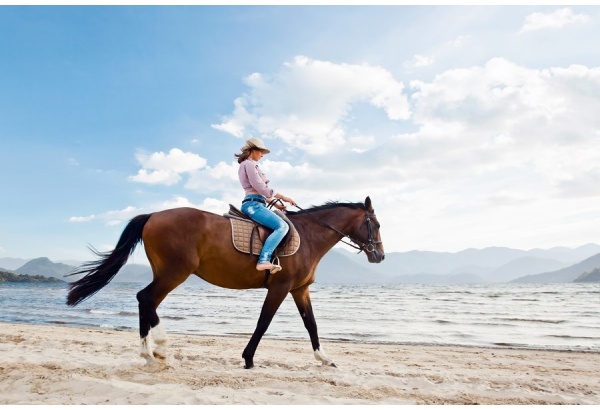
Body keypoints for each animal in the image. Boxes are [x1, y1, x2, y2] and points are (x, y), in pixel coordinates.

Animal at [65, 195, 384, 368]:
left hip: (166, 273)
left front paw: (325, 359)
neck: (307, 236)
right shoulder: (280, 287)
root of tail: (154, 214)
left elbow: (312, 324)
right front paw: (248, 359)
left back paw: (150, 354)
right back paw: (159, 347)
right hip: (174, 273)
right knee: (146, 299)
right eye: (377, 224)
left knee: (146, 301)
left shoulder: (299, 289)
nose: (379, 255)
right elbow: (264, 322)